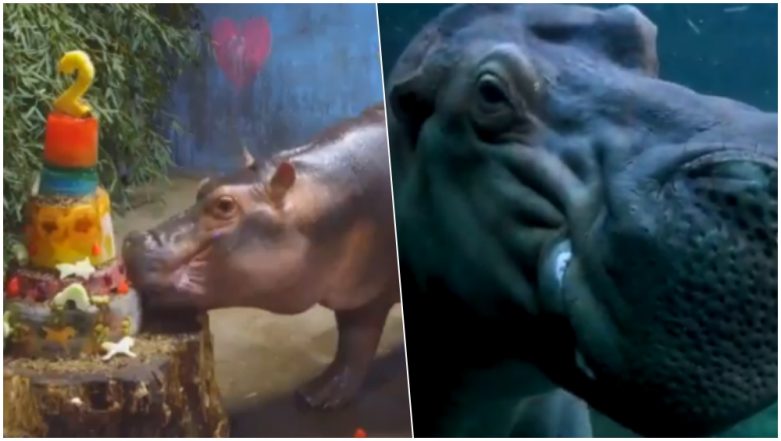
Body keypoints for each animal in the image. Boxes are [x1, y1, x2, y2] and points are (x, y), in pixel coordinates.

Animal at [123, 104, 400, 409]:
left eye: (224, 205)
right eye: (204, 185)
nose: (134, 241)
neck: (315, 192)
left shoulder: (368, 287)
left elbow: (357, 342)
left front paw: (315, 398)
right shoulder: (352, 288)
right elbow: (351, 339)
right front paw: (315, 394)